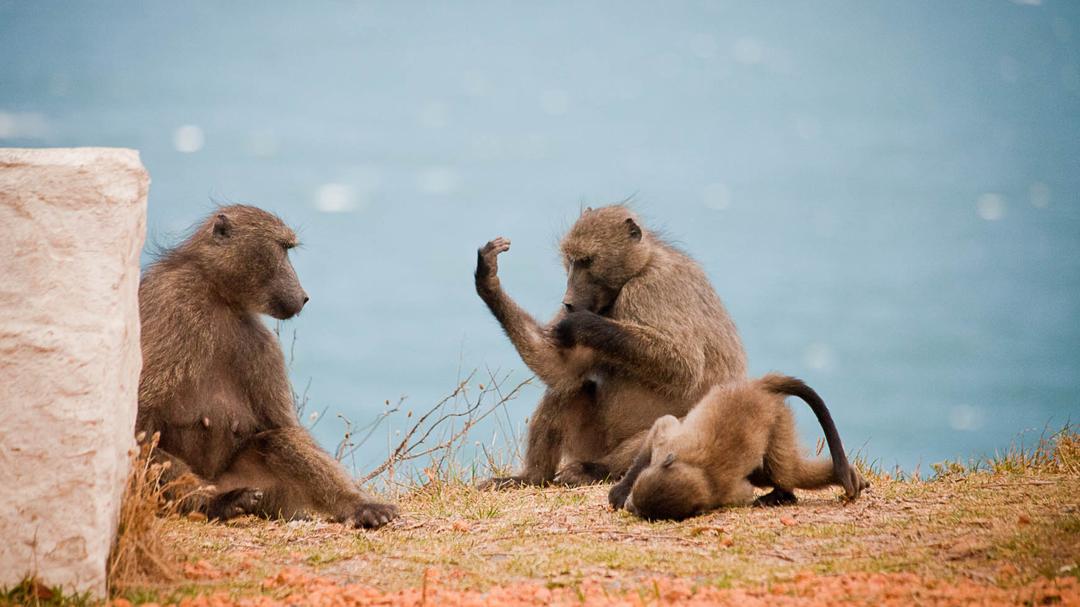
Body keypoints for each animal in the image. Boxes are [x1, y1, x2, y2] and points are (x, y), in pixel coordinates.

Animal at [136, 204, 398, 528]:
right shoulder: (171, 305)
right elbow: (140, 420)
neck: (217, 294)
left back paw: (359, 508)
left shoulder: (261, 343)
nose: (304, 297)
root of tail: (216, 482)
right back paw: (218, 503)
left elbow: (282, 426)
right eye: (283, 249)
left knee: (278, 440)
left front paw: (360, 504)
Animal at [474, 205, 752, 488]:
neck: (640, 267)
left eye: (587, 261)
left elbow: (683, 366)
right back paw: (532, 477)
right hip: (592, 443)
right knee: (567, 388)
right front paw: (488, 278)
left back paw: (594, 471)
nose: (568, 303)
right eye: (572, 261)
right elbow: (560, 366)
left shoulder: (655, 287)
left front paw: (583, 324)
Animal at [607, 373, 868, 521]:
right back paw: (845, 474)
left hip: (777, 417)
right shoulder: (667, 447)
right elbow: (663, 424)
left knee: (779, 472)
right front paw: (620, 491)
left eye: (642, 512)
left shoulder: (729, 493)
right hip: (778, 417)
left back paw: (785, 495)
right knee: (778, 471)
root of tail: (759, 387)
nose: (630, 506)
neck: (702, 474)